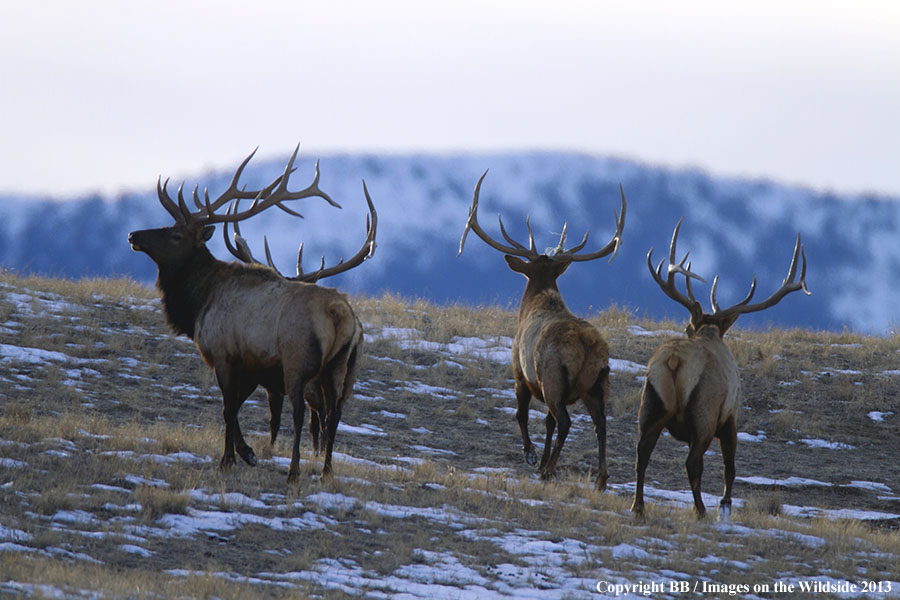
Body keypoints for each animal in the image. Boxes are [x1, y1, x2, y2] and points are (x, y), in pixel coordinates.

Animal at [458, 171, 624, 490]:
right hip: (598, 383)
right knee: (600, 424)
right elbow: (546, 423)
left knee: (566, 421)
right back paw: (600, 478)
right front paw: (541, 459)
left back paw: (550, 470)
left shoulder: (519, 372)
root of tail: (587, 344)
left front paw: (532, 456)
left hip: (553, 376)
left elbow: (522, 415)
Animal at [628, 220, 812, 520]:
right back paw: (701, 509)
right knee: (692, 462)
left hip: (650, 404)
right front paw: (725, 502)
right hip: (703, 413)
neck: (710, 333)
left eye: (687, 326)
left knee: (641, 452)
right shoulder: (729, 417)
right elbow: (730, 467)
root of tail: (675, 360)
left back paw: (638, 506)